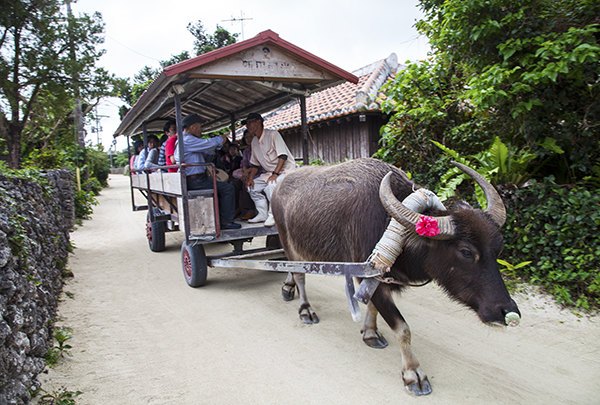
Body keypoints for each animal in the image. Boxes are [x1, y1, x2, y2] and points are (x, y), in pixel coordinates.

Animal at [272, 157, 520, 394]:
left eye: (498, 248)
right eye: (466, 252)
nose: (507, 310)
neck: (388, 224)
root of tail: (278, 186)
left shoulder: (376, 280)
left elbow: (373, 307)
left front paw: (370, 333)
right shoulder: (369, 276)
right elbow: (403, 329)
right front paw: (414, 374)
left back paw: (288, 288)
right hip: (288, 241)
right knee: (300, 275)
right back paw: (305, 310)